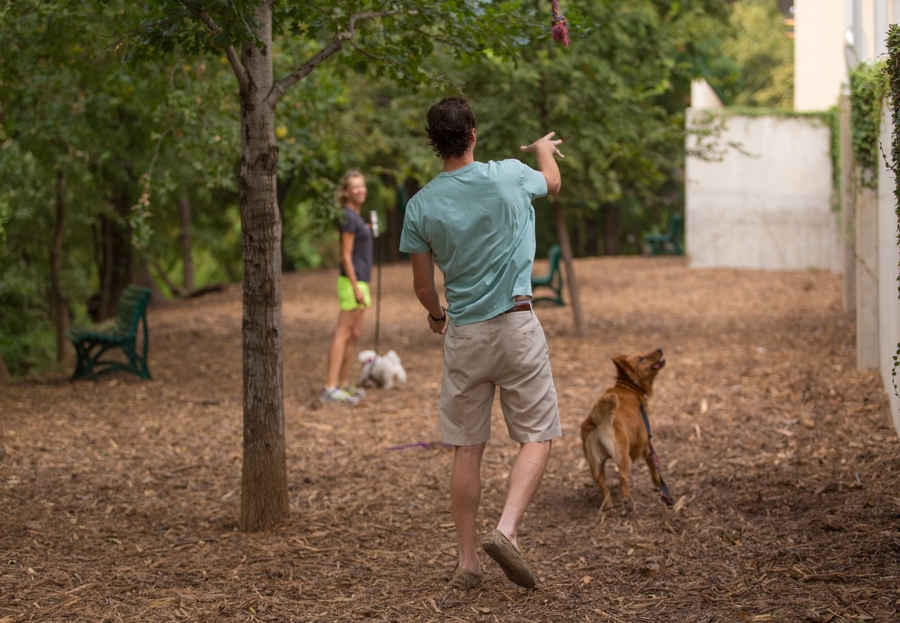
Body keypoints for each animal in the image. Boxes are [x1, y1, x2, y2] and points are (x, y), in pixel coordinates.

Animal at [581, 348, 671, 512]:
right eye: (641, 359)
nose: (660, 349)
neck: (628, 388)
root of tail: (597, 418)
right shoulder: (646, 447)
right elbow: (654, 468)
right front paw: (657, 485)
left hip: (596, 465)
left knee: (603, 486)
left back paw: (609, 507)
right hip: (623, 457)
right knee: (622, 479)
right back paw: (629, 501)